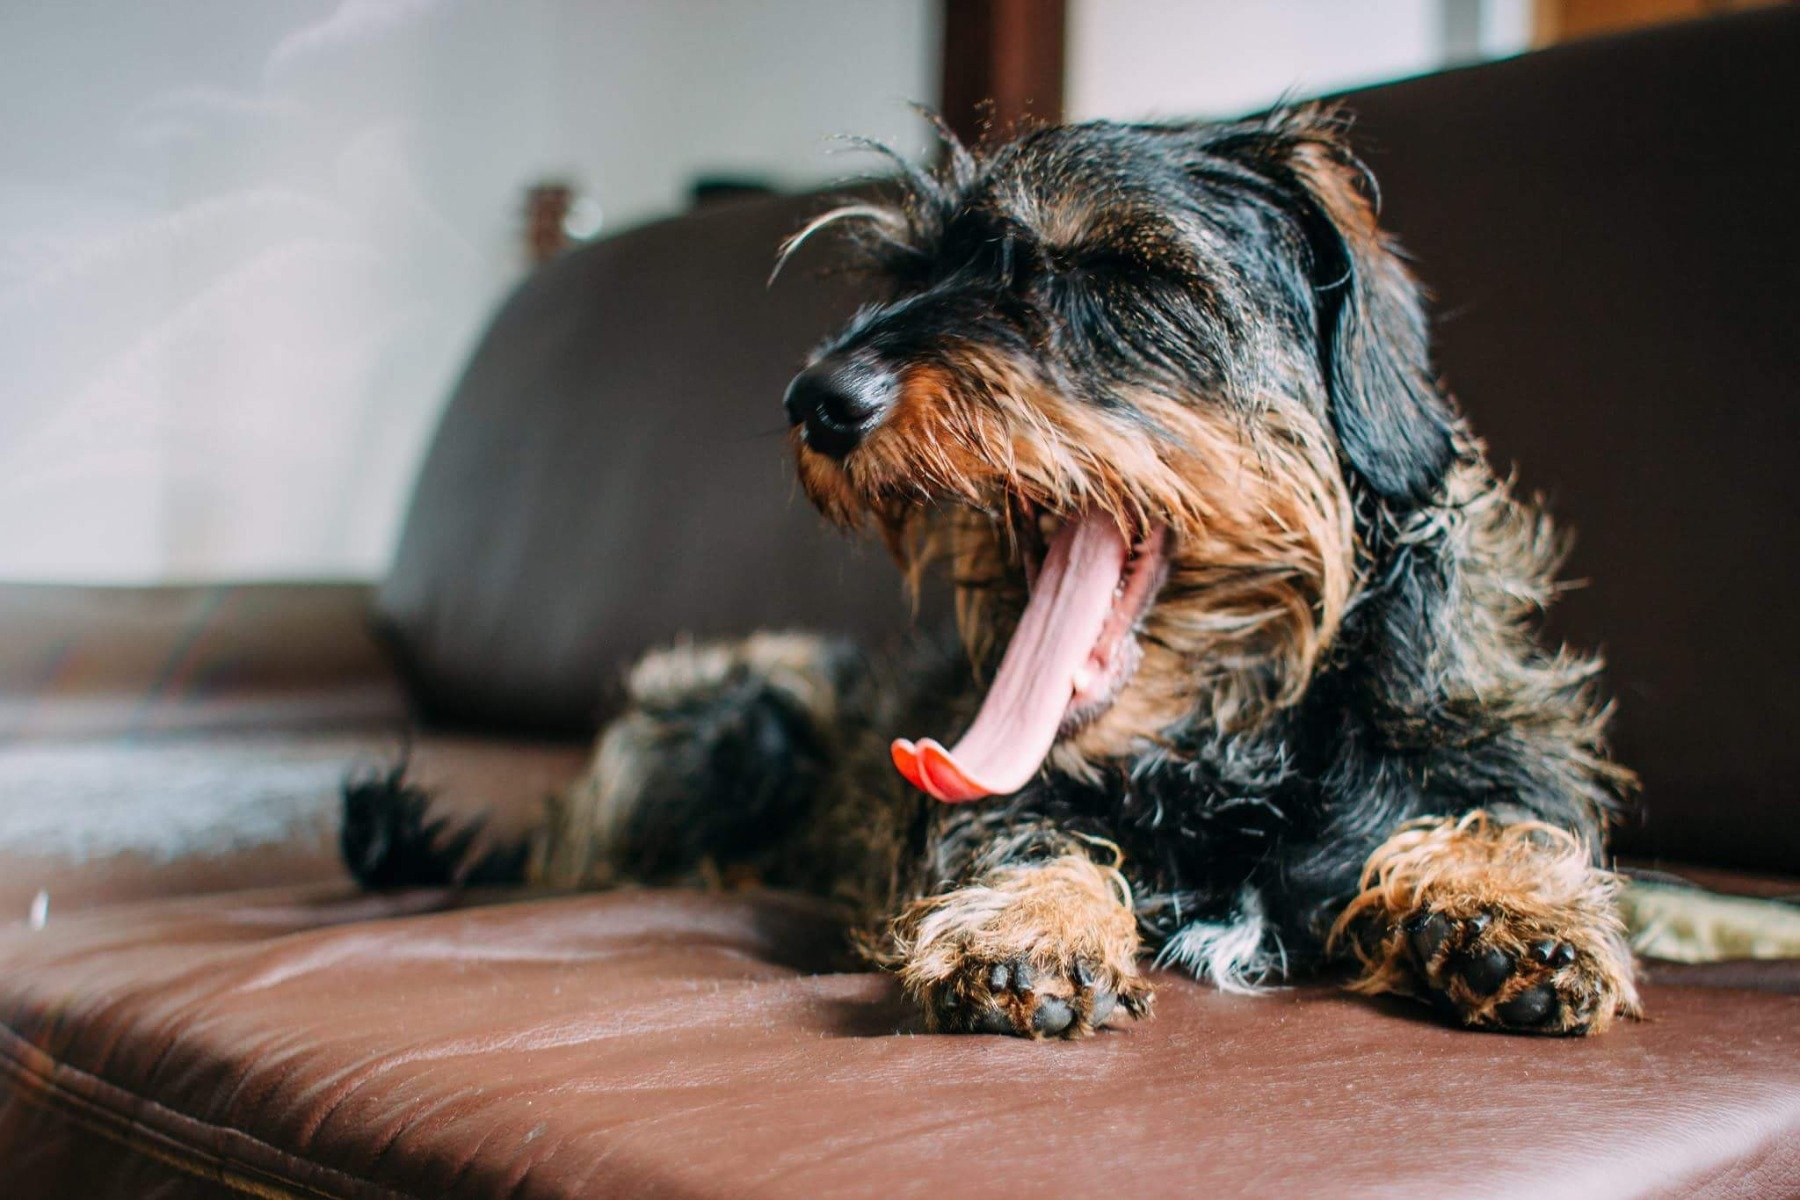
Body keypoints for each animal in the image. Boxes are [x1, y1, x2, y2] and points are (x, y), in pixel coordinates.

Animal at [340, 107, 1648, 1036]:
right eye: (910, 275)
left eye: (1106, 269)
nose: (818, 400)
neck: (1223, 755)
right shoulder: (979, 799)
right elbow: (1019, 835)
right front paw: (1031, 923)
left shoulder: (1483, 745)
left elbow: (1493, 815)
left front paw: (1503, 903)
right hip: (727, 713)